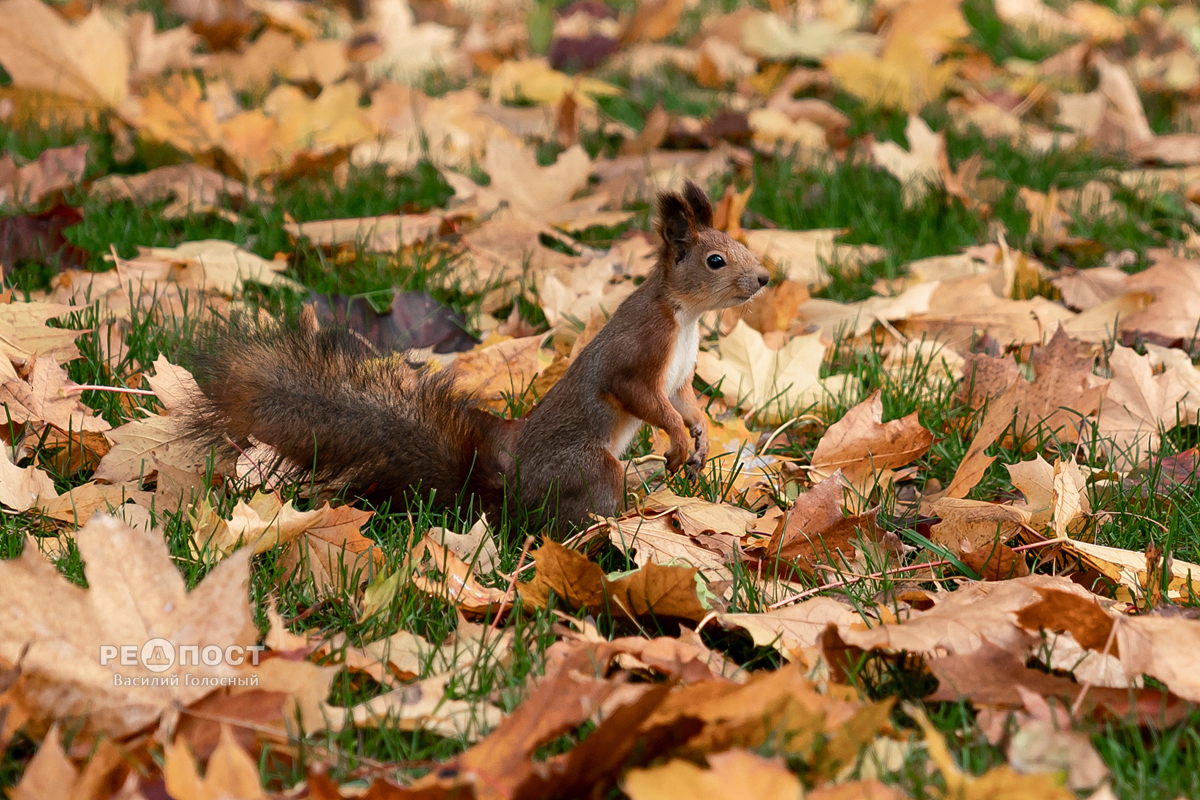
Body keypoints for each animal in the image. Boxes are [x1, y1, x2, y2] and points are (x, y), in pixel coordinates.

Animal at [187, 181, 768, 537]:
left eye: (740, 245)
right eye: (716, 260)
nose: (764, 278)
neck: (684, 318)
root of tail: (511, 500)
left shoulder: (680, 376)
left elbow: (685, 401)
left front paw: (699, 436)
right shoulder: (639, 354)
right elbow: (643, 398)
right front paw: (677, 440)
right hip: (589, 469)